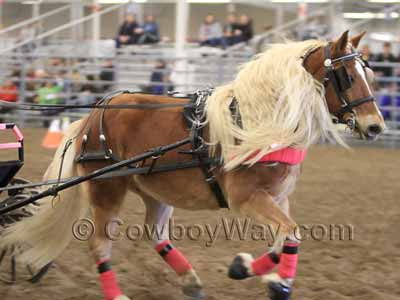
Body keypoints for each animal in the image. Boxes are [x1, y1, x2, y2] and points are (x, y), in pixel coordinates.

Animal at [1, 31, 386, 300]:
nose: (375, 127)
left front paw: (247, 269)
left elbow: (282, 239)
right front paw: (277, 283)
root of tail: (96, 111)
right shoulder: (246, 198)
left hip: (152, 188)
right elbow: (291, 233)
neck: (259, 123)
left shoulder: (278, 197)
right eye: (347, 76)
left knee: (155, 235)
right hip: (107, 188)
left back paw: (191, 281)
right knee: (99, 244)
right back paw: (118, 294)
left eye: (370, 74)